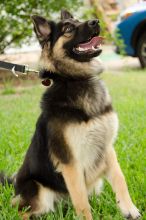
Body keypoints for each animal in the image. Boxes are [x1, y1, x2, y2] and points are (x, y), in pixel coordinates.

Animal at [0, 9, 141, 220]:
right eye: (68, 28)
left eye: (79, 20)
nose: (96, 21)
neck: (76, 79)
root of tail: (15, 183)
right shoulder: (70, 163)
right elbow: (81, 202)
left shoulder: (106, 147)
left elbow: (119, 179)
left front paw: (129, 210)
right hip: (37, 190)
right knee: (21, 210)